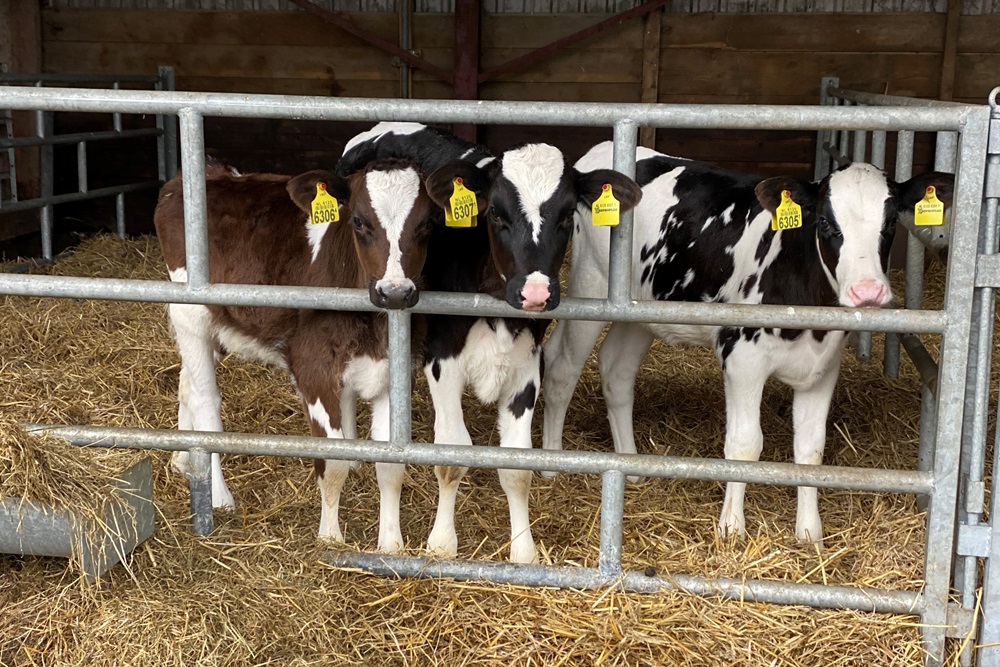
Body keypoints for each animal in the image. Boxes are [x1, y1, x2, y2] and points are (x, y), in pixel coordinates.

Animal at [342, 122, 640, 560]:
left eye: (568, 214)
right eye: (496, 213)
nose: (535, 292)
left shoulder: (527, 367)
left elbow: (516, 466)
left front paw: (523, 551)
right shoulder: (442, 361)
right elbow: (451, 454)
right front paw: (442, 542)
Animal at [540, 144, 952, 544]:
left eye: (891, 223)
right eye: (825, 223)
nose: (867, 291)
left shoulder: (823, 368)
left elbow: (811, 450)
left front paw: (810, 534)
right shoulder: (742, 358)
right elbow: (744, 444)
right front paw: (731, 528)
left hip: (643, 308)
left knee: (616, 370)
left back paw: (631, 464)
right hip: (591, 284)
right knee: (562, 367)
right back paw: (550, 465)